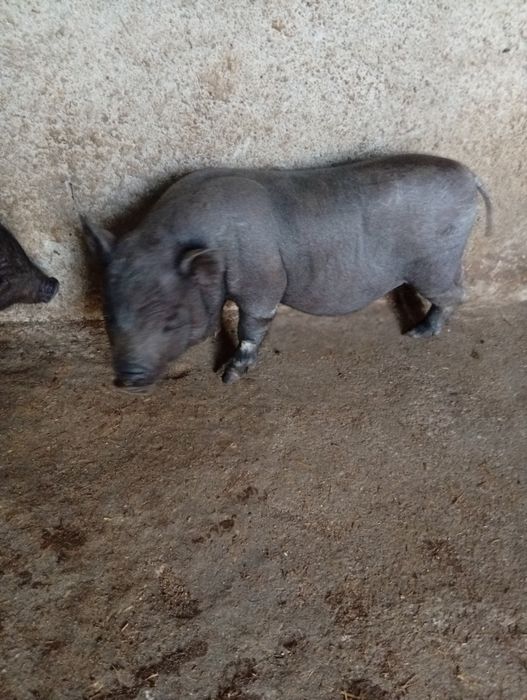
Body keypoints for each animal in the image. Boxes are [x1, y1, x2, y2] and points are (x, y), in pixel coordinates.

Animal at [82, 153, 491, 391]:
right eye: (109, 316)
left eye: (170, 320)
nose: (128, 378)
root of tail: (470, 175)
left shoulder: (262, 280)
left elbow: (253, 324)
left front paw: (228, 377)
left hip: (435, 262)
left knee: (456, 293)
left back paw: (419, 333)